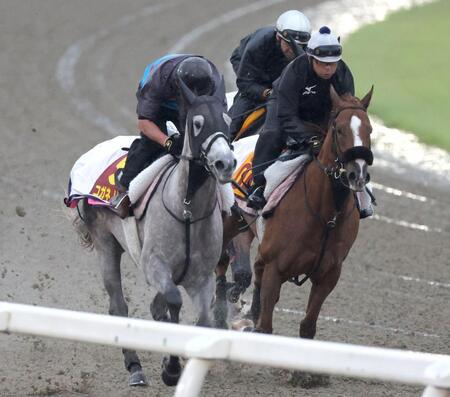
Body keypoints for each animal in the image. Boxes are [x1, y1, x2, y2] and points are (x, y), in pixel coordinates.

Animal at [69, 79, 236, 386]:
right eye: (197, 123)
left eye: (228, 120)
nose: (225, 163)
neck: (187, 211)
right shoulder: (155, 265)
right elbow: (173, 302)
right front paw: (171, 370)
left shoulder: (200, 277)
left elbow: (201, 319)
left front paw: (175, 362)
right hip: (105, 244)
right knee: (118, 306)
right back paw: (135, 366)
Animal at [216, 85, 374, 336]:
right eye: (338, 129)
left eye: (370, 130)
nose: (356, 174)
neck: (325, 215)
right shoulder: (275, 268)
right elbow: (265, 326)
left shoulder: (328, 276)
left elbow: (307, 327)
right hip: (229, 220)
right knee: (219, 262)